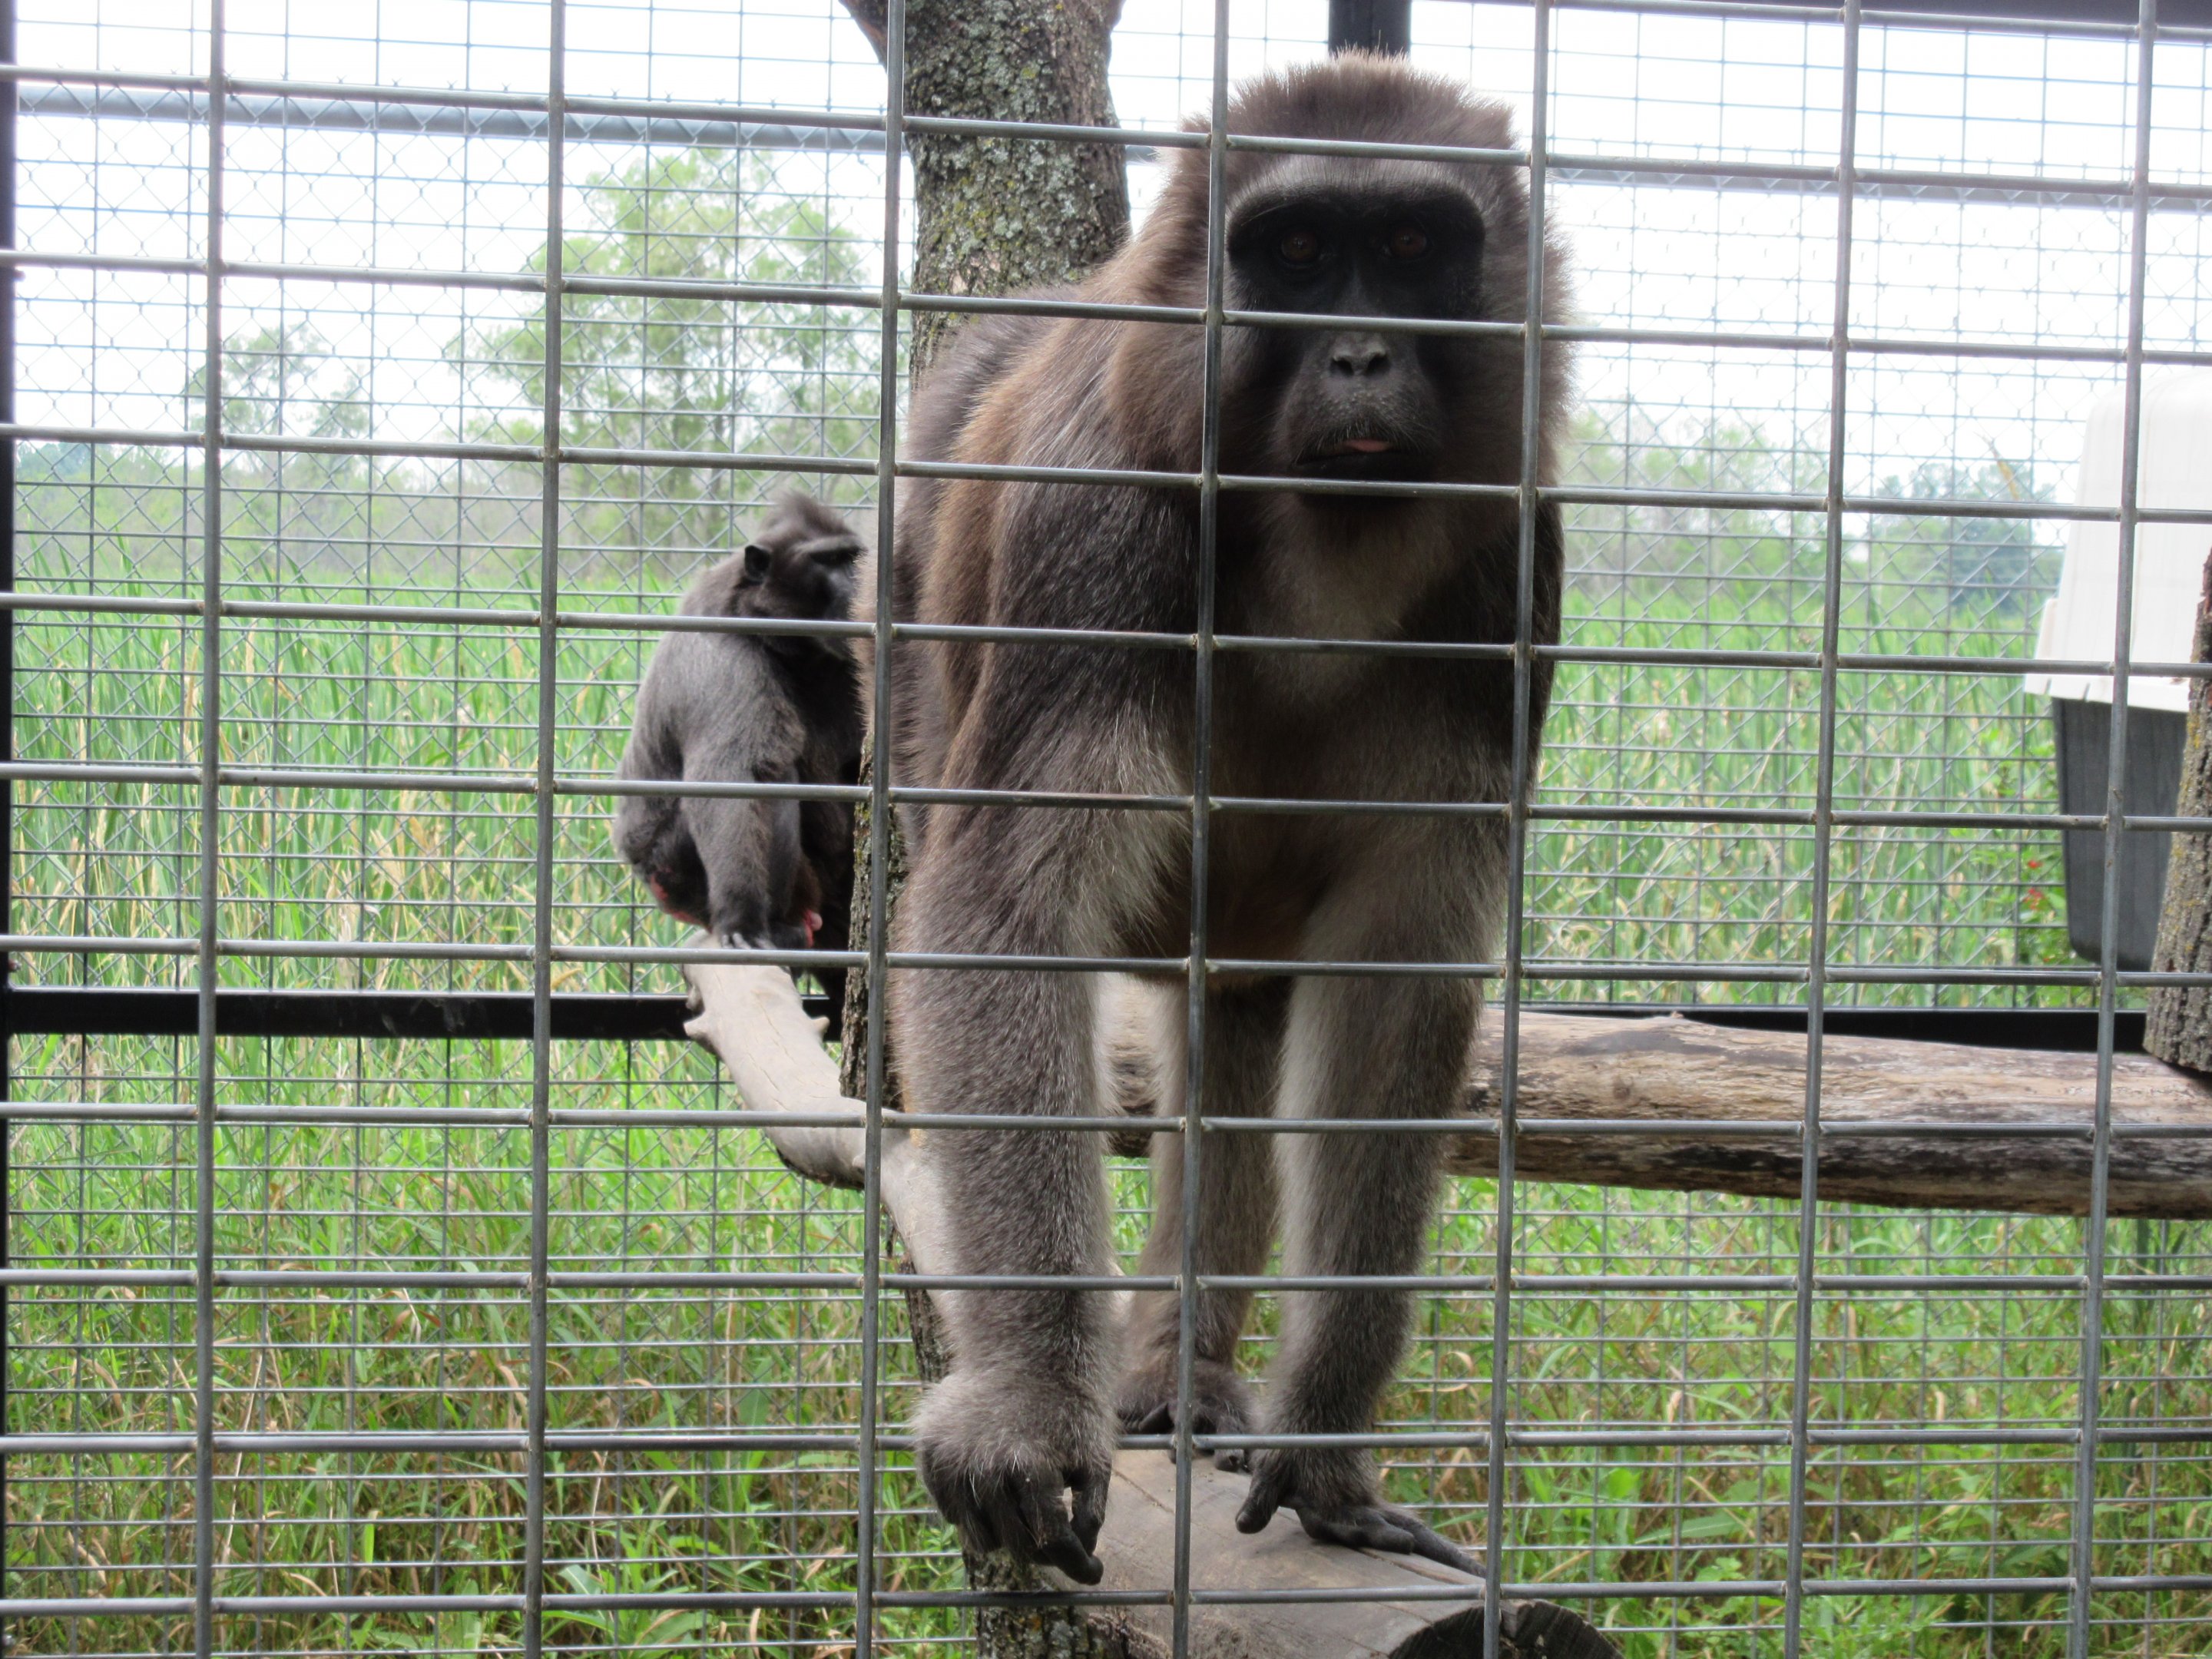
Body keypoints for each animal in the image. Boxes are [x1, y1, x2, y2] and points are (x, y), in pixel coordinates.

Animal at [614, 492, 865, 1009]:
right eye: (827, 561)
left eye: (852, 558)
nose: (859, 584)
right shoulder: (723, 658)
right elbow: (733, 777)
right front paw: (742, 920)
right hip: (676, 869)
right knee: (773, 777)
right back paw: (777, 928)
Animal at [868, 54, 1568, 1584]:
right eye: (1296, 254)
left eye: (1413, 250)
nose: (1360, 356)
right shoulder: (1095, 514)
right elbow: (1000, 913)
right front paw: (1028, 1403)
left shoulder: (1512, 572)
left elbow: (1402, 970)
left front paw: (1326, 1431)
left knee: (1238, 1014)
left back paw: (1179, 1369)